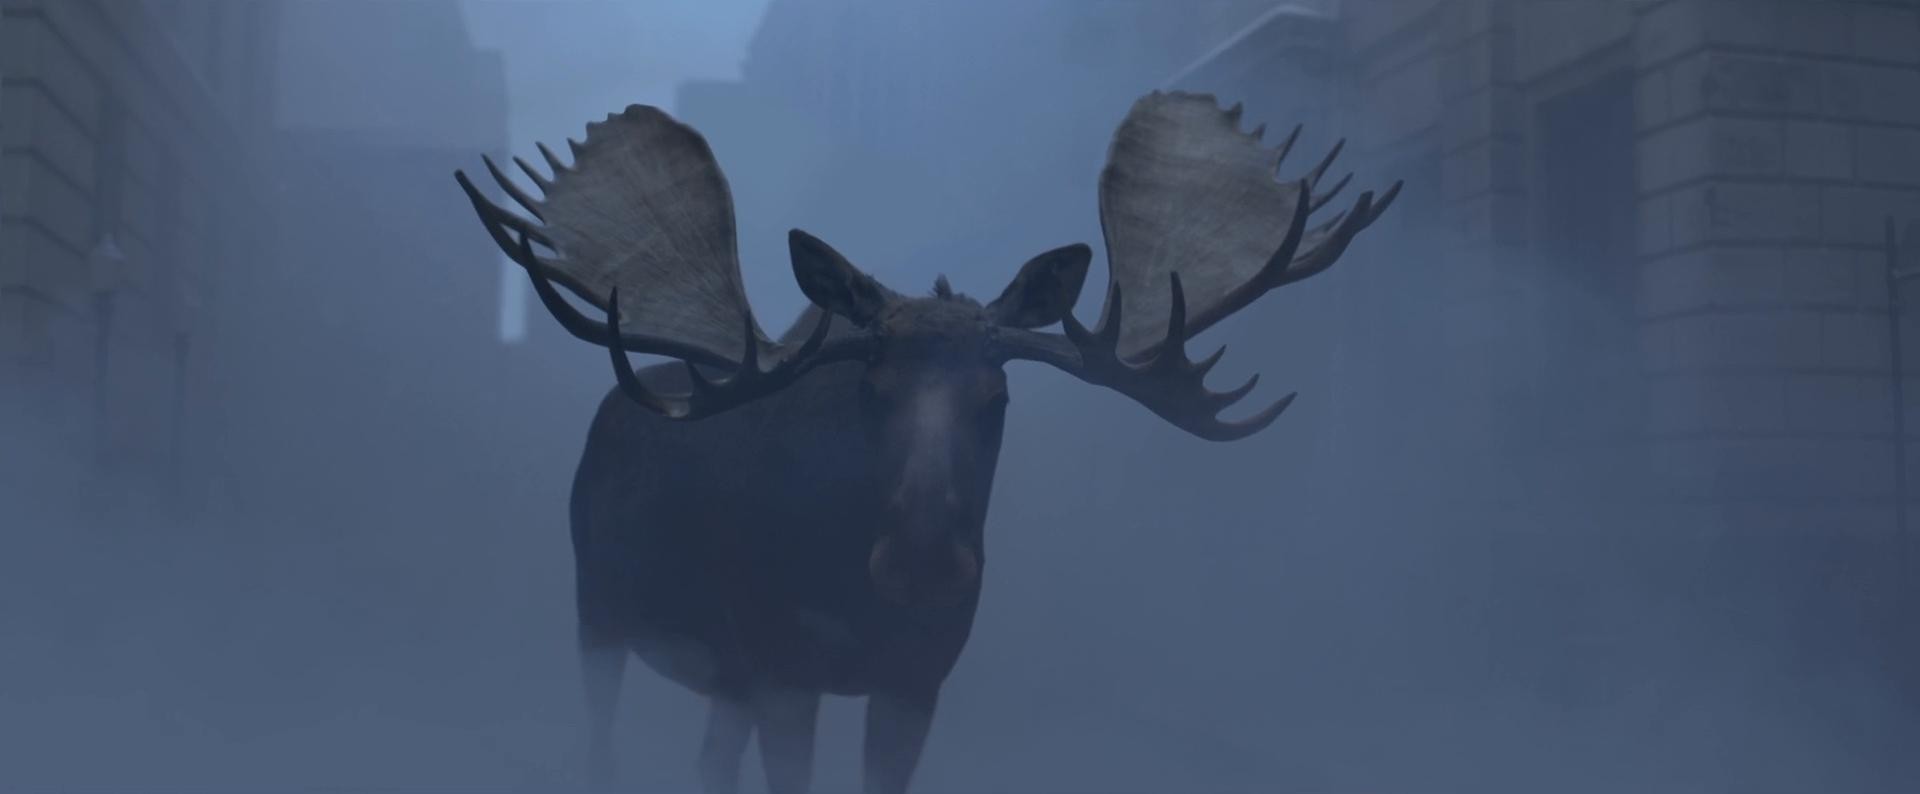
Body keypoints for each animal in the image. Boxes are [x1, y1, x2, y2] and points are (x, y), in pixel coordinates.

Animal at [455, 90, 1397, 794]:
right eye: (871, 389)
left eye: (999, 394)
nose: (923, 560)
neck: (856, 602)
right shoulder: (781, 669)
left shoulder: (915, 682)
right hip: (598, 608)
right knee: (602, 743)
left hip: (716, 671)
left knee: (706, 764)